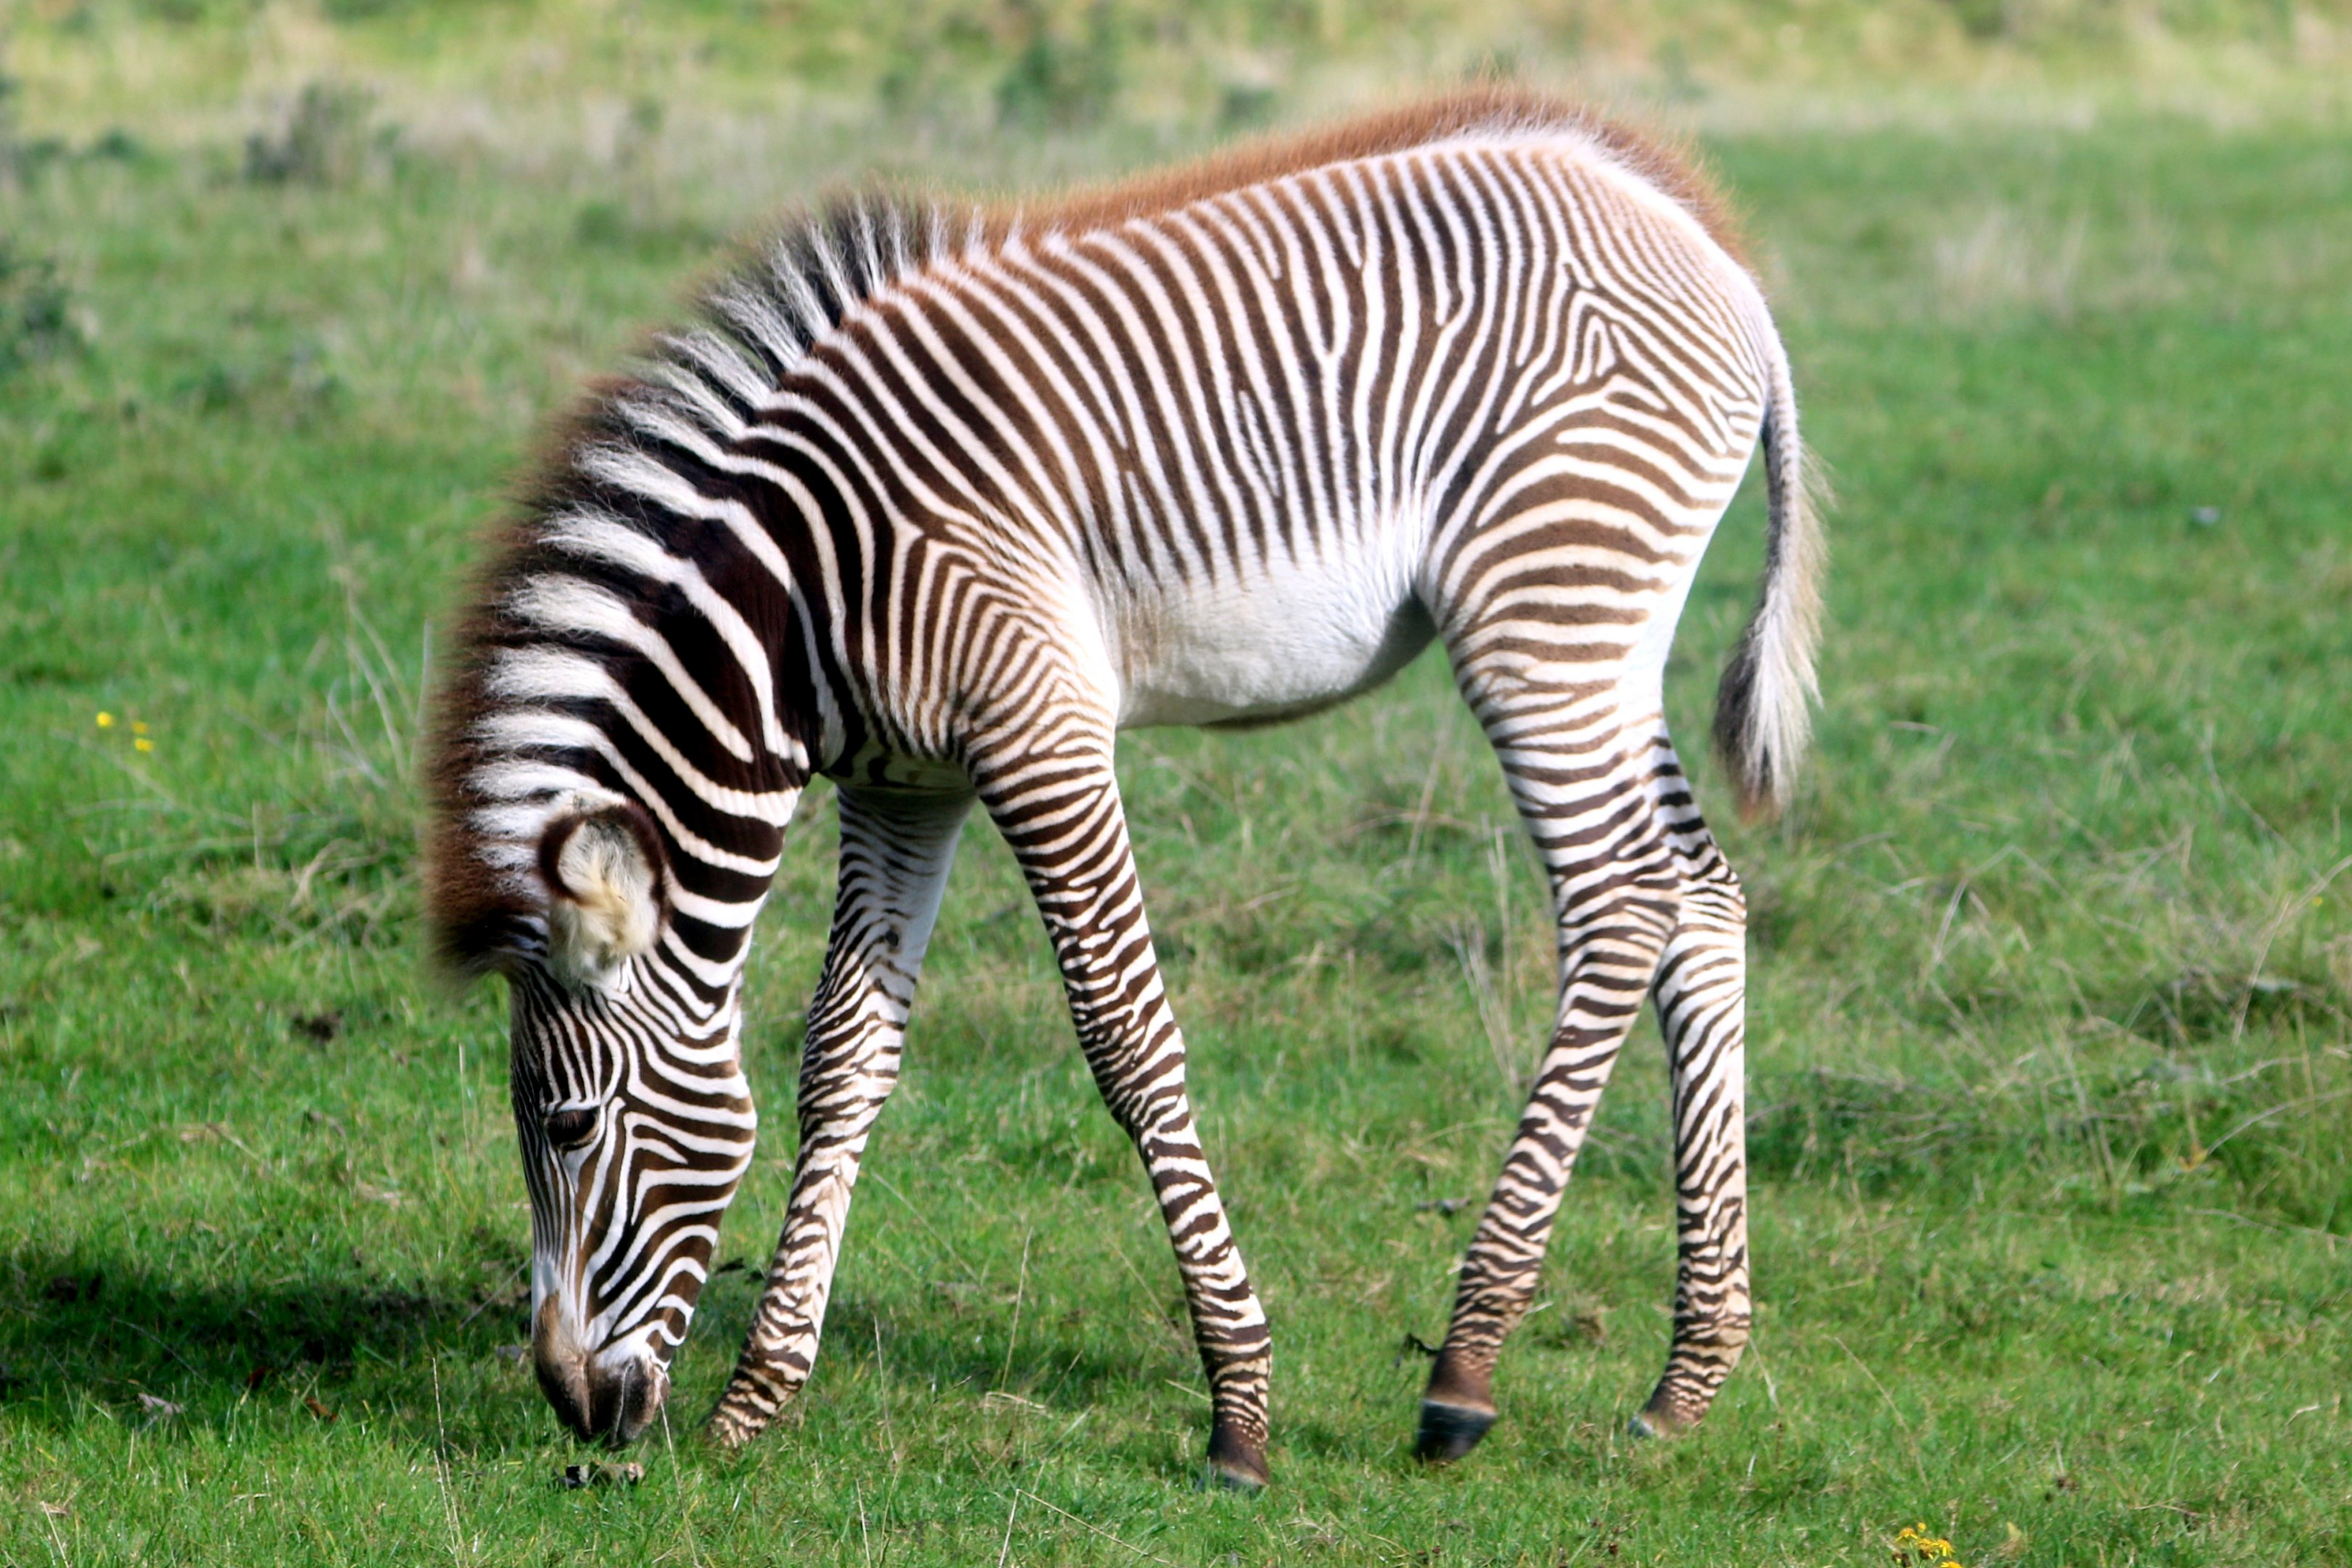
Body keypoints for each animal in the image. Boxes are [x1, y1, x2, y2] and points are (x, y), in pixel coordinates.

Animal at [425, 89, 1824, 1490]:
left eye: (569, 1127)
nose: (570, 1406)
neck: (803, 600)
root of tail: (1717, 262)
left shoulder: (1037, 728)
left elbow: (1125, 1041)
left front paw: (1239, 1407)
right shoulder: (904, 782)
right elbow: (842, 1054)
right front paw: (760, 1397)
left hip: (1543, 606)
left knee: (1621, 907)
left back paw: (1466, 1368)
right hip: (1605, 639)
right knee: (1699, 899)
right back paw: (1687, 1374)